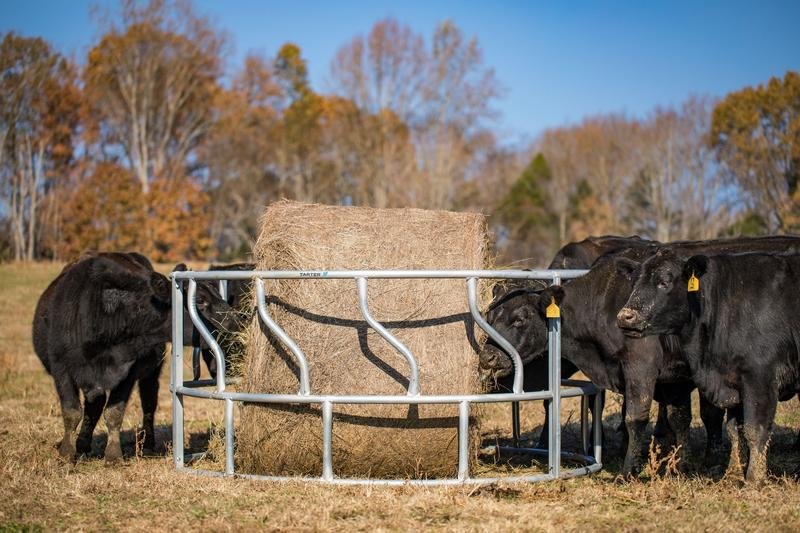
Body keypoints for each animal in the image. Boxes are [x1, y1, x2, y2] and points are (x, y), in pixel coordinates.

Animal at [33, 253, 232, 462]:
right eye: (200, 300)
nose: (236, 319)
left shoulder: (128, 371)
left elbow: (114, 412)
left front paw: (113, 455)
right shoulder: (61, 368)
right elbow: (72, 411)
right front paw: (66, 452)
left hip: (151, 372)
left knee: (148, 401)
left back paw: (147, 443)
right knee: (95, 405)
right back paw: (83, 444)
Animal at [617, 250, 800, 482]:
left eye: (664, 282)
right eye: (633, 283)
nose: (625, 316)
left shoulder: (761, 378)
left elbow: (755, 430)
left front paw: (753, 479)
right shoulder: (733, 381)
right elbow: (735, 430)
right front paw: (733, 473)